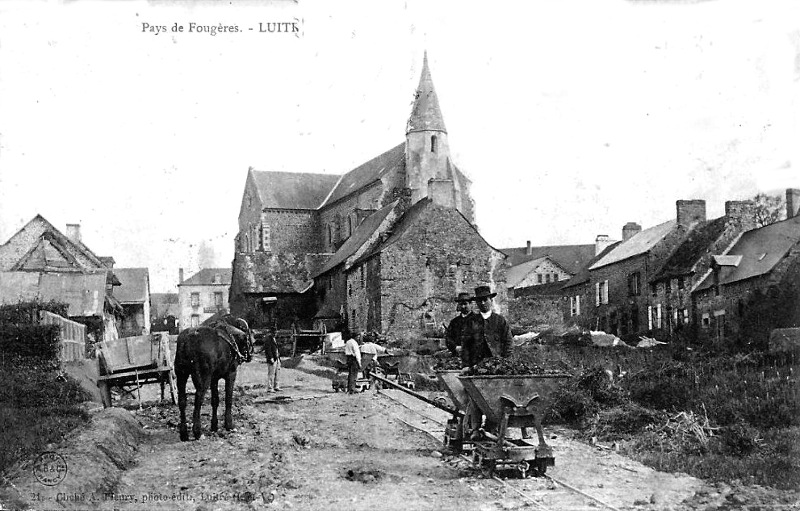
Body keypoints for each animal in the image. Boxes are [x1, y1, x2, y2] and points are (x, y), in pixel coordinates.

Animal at [175, 314, 253, 442]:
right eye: (248, 335)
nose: (250, 354)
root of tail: (189, 337)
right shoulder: (231, 374)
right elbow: (228, 399)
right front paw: (229, 424)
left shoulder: (214, 379)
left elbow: (215, 400)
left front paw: (214, 425)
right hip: (203, 378)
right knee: (198, 399)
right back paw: (197, 431)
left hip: (181, 375)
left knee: (182, 401)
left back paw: (184, 433)